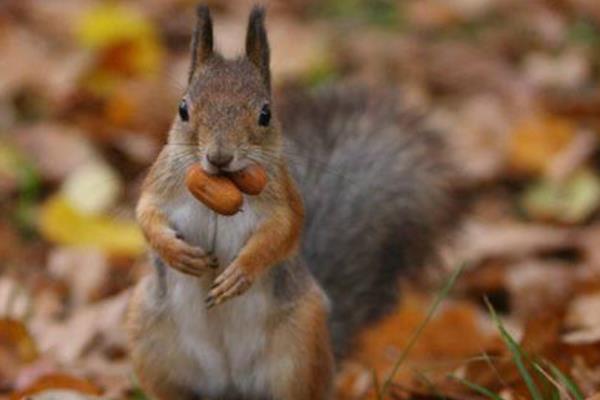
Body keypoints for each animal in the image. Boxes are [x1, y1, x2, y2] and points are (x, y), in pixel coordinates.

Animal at [126, 3, 454, 400]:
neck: (223, 187)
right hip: (150, 337)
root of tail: (231, 387)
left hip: (301, 344)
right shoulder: (160, 185)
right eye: (183, 109)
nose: (219, 157)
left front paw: (242, 271)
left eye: (265, 114)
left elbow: (282, 232)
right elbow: (145, 215)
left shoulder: (283, 197)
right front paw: (176, 253)